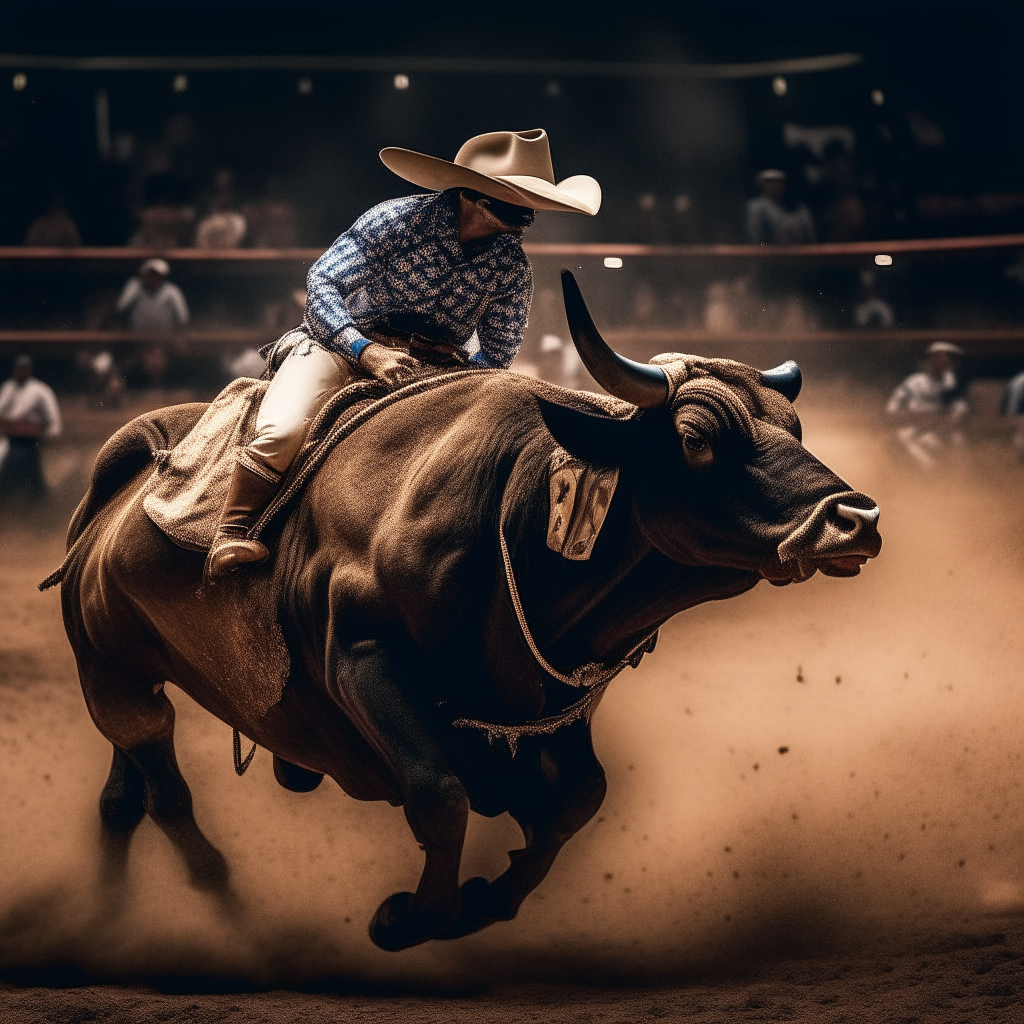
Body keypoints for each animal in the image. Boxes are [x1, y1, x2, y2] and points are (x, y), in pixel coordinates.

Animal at [48, 274, 880, 950]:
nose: (855, 519)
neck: (511, 508)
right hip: (111, 669)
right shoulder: (363, 660)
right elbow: (440, 795)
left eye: (794, 428)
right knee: (164, 784)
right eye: (696, 436)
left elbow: (579, 798)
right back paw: (224, 909)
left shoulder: (552, 708)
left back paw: (110, 908)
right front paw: (406, 918)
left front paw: (484, 901)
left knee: (124, 793)